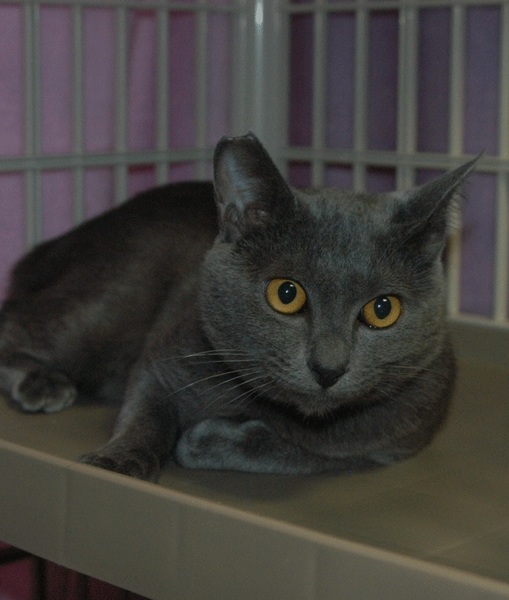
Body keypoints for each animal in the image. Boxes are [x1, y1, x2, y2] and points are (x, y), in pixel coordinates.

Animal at [0, 133, 477, 481]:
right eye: (286, 294)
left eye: (382, 309)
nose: (328, 367)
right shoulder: (163, 355)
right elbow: (145, 412)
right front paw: (116, 463)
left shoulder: (397, 437)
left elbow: (311, 452)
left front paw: (205, 439)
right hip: (110, 300)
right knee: (16, 323)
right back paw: (44, 383)